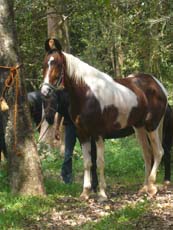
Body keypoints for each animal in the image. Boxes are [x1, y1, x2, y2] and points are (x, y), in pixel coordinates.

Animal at [40, 38, 168, 199]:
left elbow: (100, 162)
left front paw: (102, 193)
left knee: (158, 152)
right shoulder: (82, 134)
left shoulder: (98, 134)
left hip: (152, 125)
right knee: (147, 154)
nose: (45, 91)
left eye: (57, 64)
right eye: (44, 64)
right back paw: (144, 187)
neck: (87, 94)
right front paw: (85, 193)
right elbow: (88, 163)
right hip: (139, 127)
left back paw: (151, 187)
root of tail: (157, 85)